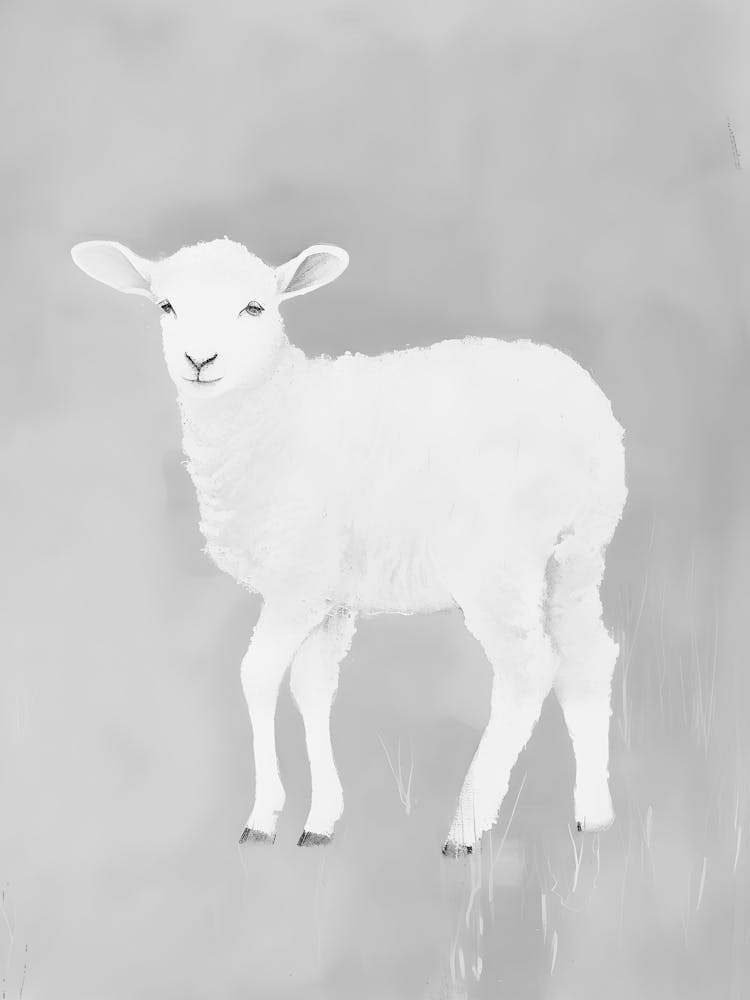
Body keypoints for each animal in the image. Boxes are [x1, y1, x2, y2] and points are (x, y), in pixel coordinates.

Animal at [70, 236, 627, 856]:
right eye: (166, 306)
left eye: (255, 307)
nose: (199, 360)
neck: (275, 411)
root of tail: (584, 408)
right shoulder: (329, 595)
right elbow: (312, 689)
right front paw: (319, 821)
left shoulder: (297, 579)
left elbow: (256, 676)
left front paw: (262, 817)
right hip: (577, 553)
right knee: (587, 658)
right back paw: (594, 816)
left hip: (497, 562)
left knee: (529, 668)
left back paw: (465, 828)